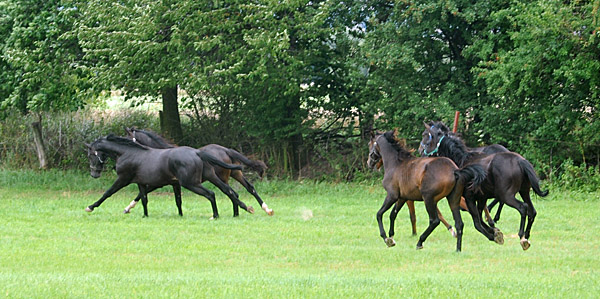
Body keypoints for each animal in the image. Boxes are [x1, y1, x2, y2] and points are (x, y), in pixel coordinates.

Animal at [85, 135, 251, 219]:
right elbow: (144, 198)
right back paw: (244, 209)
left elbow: (108, 193)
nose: (94, 174)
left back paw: (216, 215)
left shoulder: (123, 179)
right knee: (230, 192)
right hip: (211, 177)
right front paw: (145, 215)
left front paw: (90, 207)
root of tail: (197, 152)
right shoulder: (142, 182)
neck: (127, 153)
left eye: (90, 155)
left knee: (211, 194)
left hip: (191, 183)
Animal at [125, 127, 274, 217]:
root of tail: (226, 150)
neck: (162, 154)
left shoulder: (161, 183)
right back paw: (262, 209)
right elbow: (176, 200)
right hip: (235, 173)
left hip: (220, 177)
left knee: (230, 192)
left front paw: (128, 208)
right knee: (248, 188)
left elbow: (142, 194)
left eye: (126, 138)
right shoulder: (173, 184)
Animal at [418, 122, 548, 251]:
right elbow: (480, 218)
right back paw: (527, 236)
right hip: (524, 191)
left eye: (426, 137)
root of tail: (520, 161)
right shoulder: (481, 198)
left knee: (522, 207)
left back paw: (522, 237)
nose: (421, 152)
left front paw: (494, 235)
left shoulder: (469, 198)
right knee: (532, 211)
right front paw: (495, 231)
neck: (462, 160)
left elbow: (477, 222)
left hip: (506, 195)